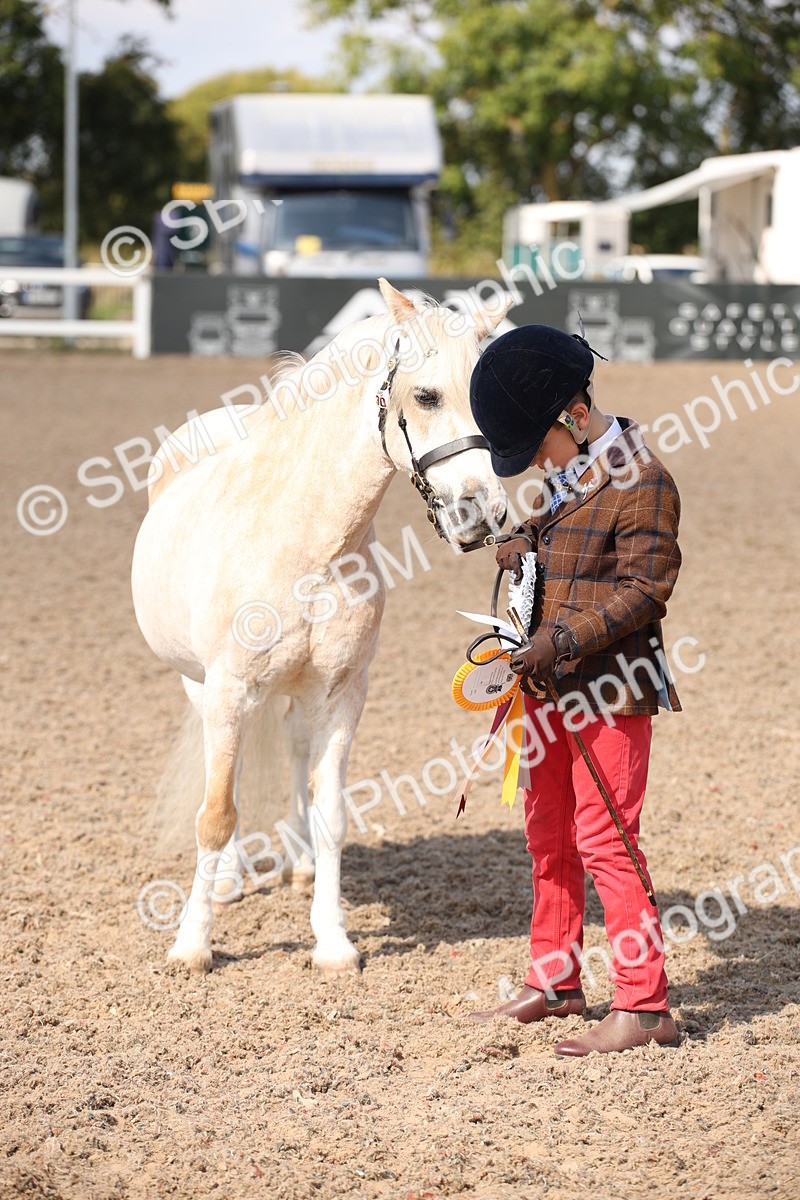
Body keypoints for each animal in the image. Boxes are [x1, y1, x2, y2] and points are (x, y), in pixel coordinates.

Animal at [131, 279, 509, 976]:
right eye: (426, 395)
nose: (484, 511)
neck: (307, 544)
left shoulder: (342, 694)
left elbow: (331, 811)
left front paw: (333, 943)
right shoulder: (228, 692)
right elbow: (216, 813)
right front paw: (192, 946)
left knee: (294, 751)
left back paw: (300, 864)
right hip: (200, 688)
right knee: (225, 781)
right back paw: (226, 883)